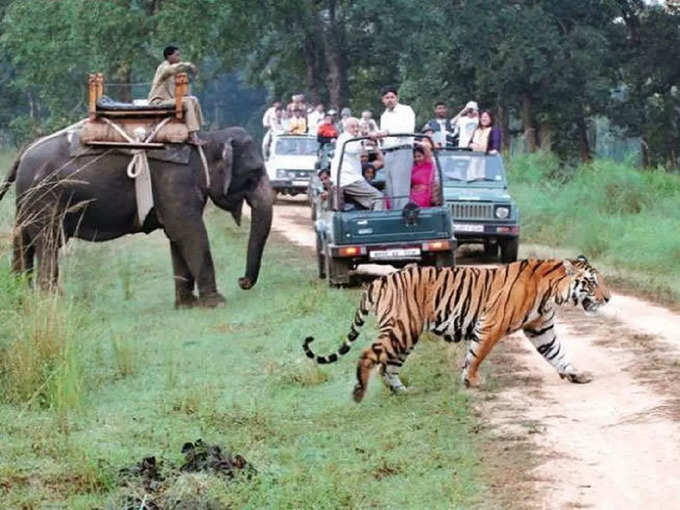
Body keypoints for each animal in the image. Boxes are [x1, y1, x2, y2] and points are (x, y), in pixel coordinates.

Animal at [0, 125, 274, 308]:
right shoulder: (175, 180)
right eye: (254, 173)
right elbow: (189, 232)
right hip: (45, 196)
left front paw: (187, 305)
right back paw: (52, 302)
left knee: (23, 243)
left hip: (27, 199)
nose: (242, 281)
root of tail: (24, 152)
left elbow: (177, 237)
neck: (206, 140)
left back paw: (23, 299)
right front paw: (217, 303)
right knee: (47, 242)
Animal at [302, 255, 612, 402]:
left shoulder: (541, 329)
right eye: (592, 283)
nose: (608, 298)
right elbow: (477, 354)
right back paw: (358, 392)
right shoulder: (491, 325)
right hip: (402, 329)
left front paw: (576, 374)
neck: (552, 292)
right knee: (368, 356)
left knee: (387, 366)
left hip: (405, 335)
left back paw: (402, 391)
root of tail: (379, 281)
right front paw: (472, 380)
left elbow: (557, 353)